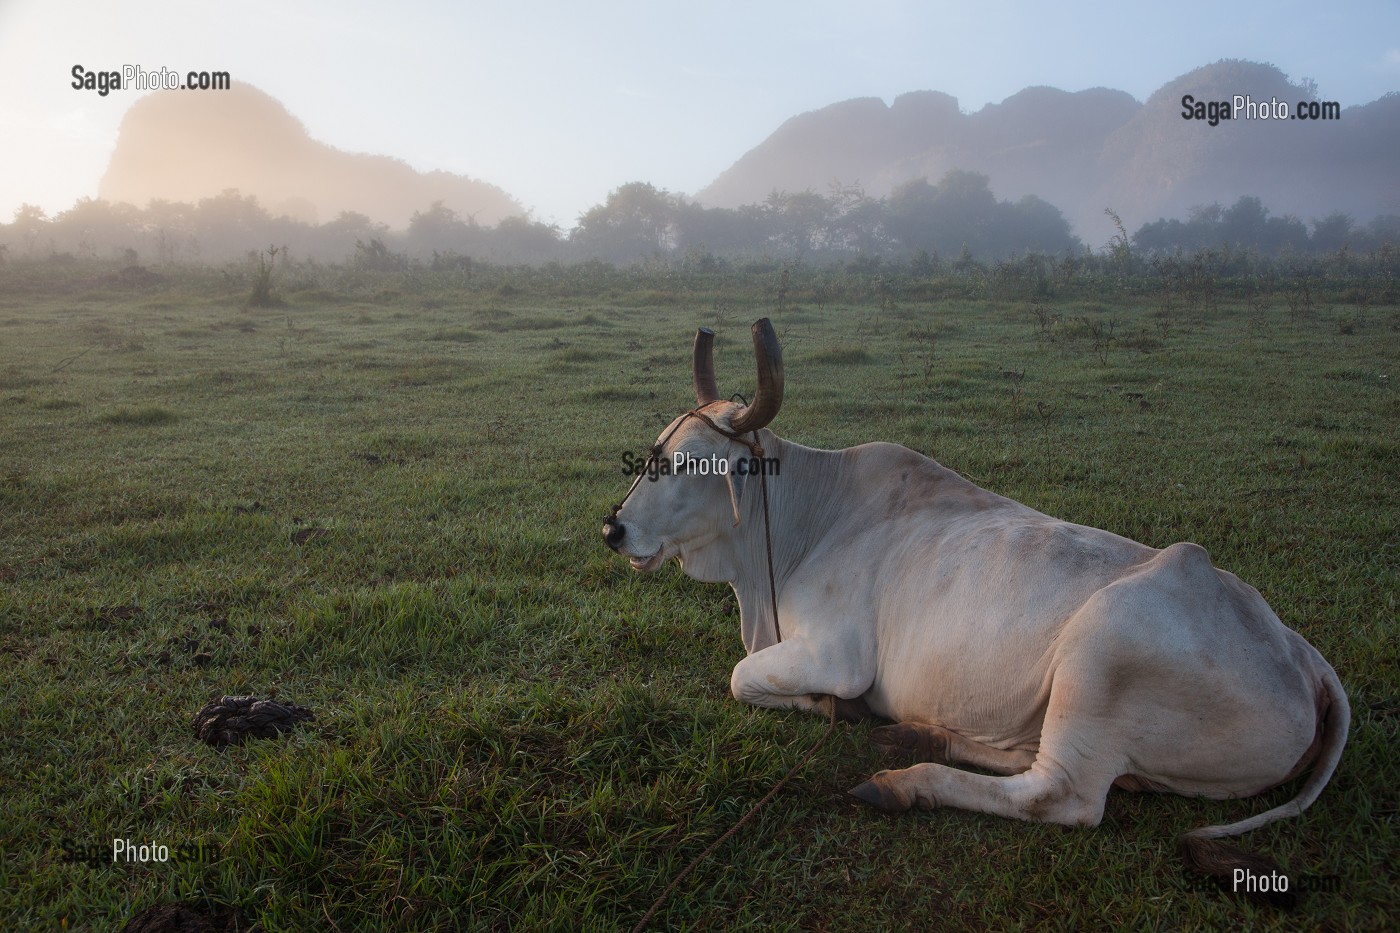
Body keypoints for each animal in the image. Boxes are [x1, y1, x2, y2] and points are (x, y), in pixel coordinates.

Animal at [601, 318, 1348, 887]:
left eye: (691, 464)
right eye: (655, 451)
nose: (614, 529)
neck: (791, 531)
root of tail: (1306, 661)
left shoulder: (837, 656)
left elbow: (741, 678)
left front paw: (830, 708)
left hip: (1101, 649)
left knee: (1060, 793)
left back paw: (904, 779)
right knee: (1030, 758)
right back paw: (920, 734)